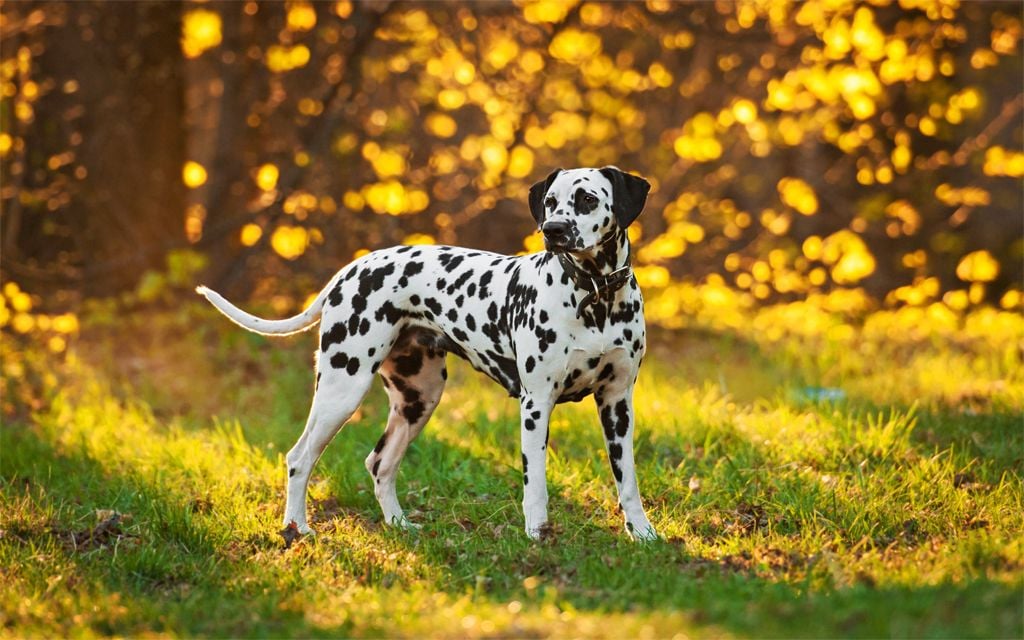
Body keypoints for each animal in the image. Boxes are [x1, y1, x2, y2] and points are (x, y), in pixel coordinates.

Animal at [196, 164, 659, 540]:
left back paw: (399, 524)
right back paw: (297, 527)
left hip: (418, 399)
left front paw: (642, 533)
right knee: (300, 457)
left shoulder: (617, 403)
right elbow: (536, 483)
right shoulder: (536, 404)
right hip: (341, 389)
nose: (554, 230)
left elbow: (628, 481)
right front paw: (537, 533)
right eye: (550, 202)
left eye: (587, 199)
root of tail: (351, 270)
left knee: (380, 463)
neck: (596, 297)